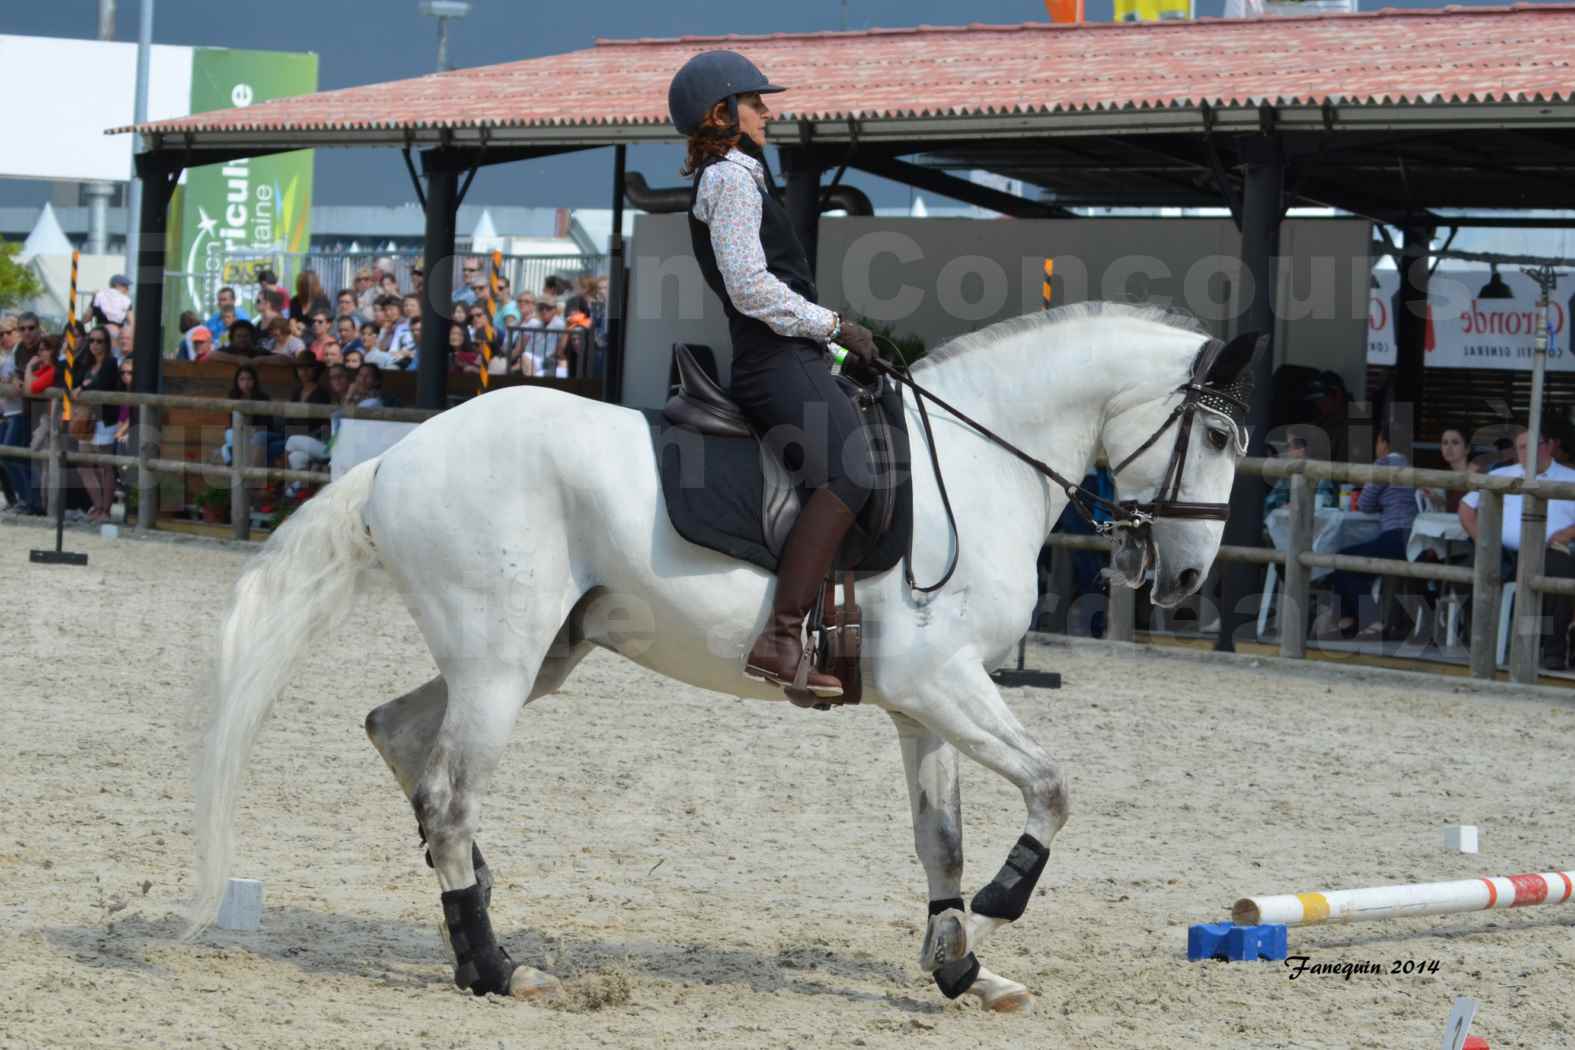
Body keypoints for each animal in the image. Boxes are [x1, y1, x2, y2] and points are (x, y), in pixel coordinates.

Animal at [190, 302, 1260, 1007]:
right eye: (1212, 436)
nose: (1184, 580)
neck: (979, 462)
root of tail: (395, 457)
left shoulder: (922, 702)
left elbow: (941, 836)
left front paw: (958, 963)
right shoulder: (943, 683)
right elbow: (1052, 787)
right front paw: (998, 905)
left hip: (537, 657)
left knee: (398, 736)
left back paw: (477, 914)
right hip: (499, 663)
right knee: (449, 794)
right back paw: (497, 968)